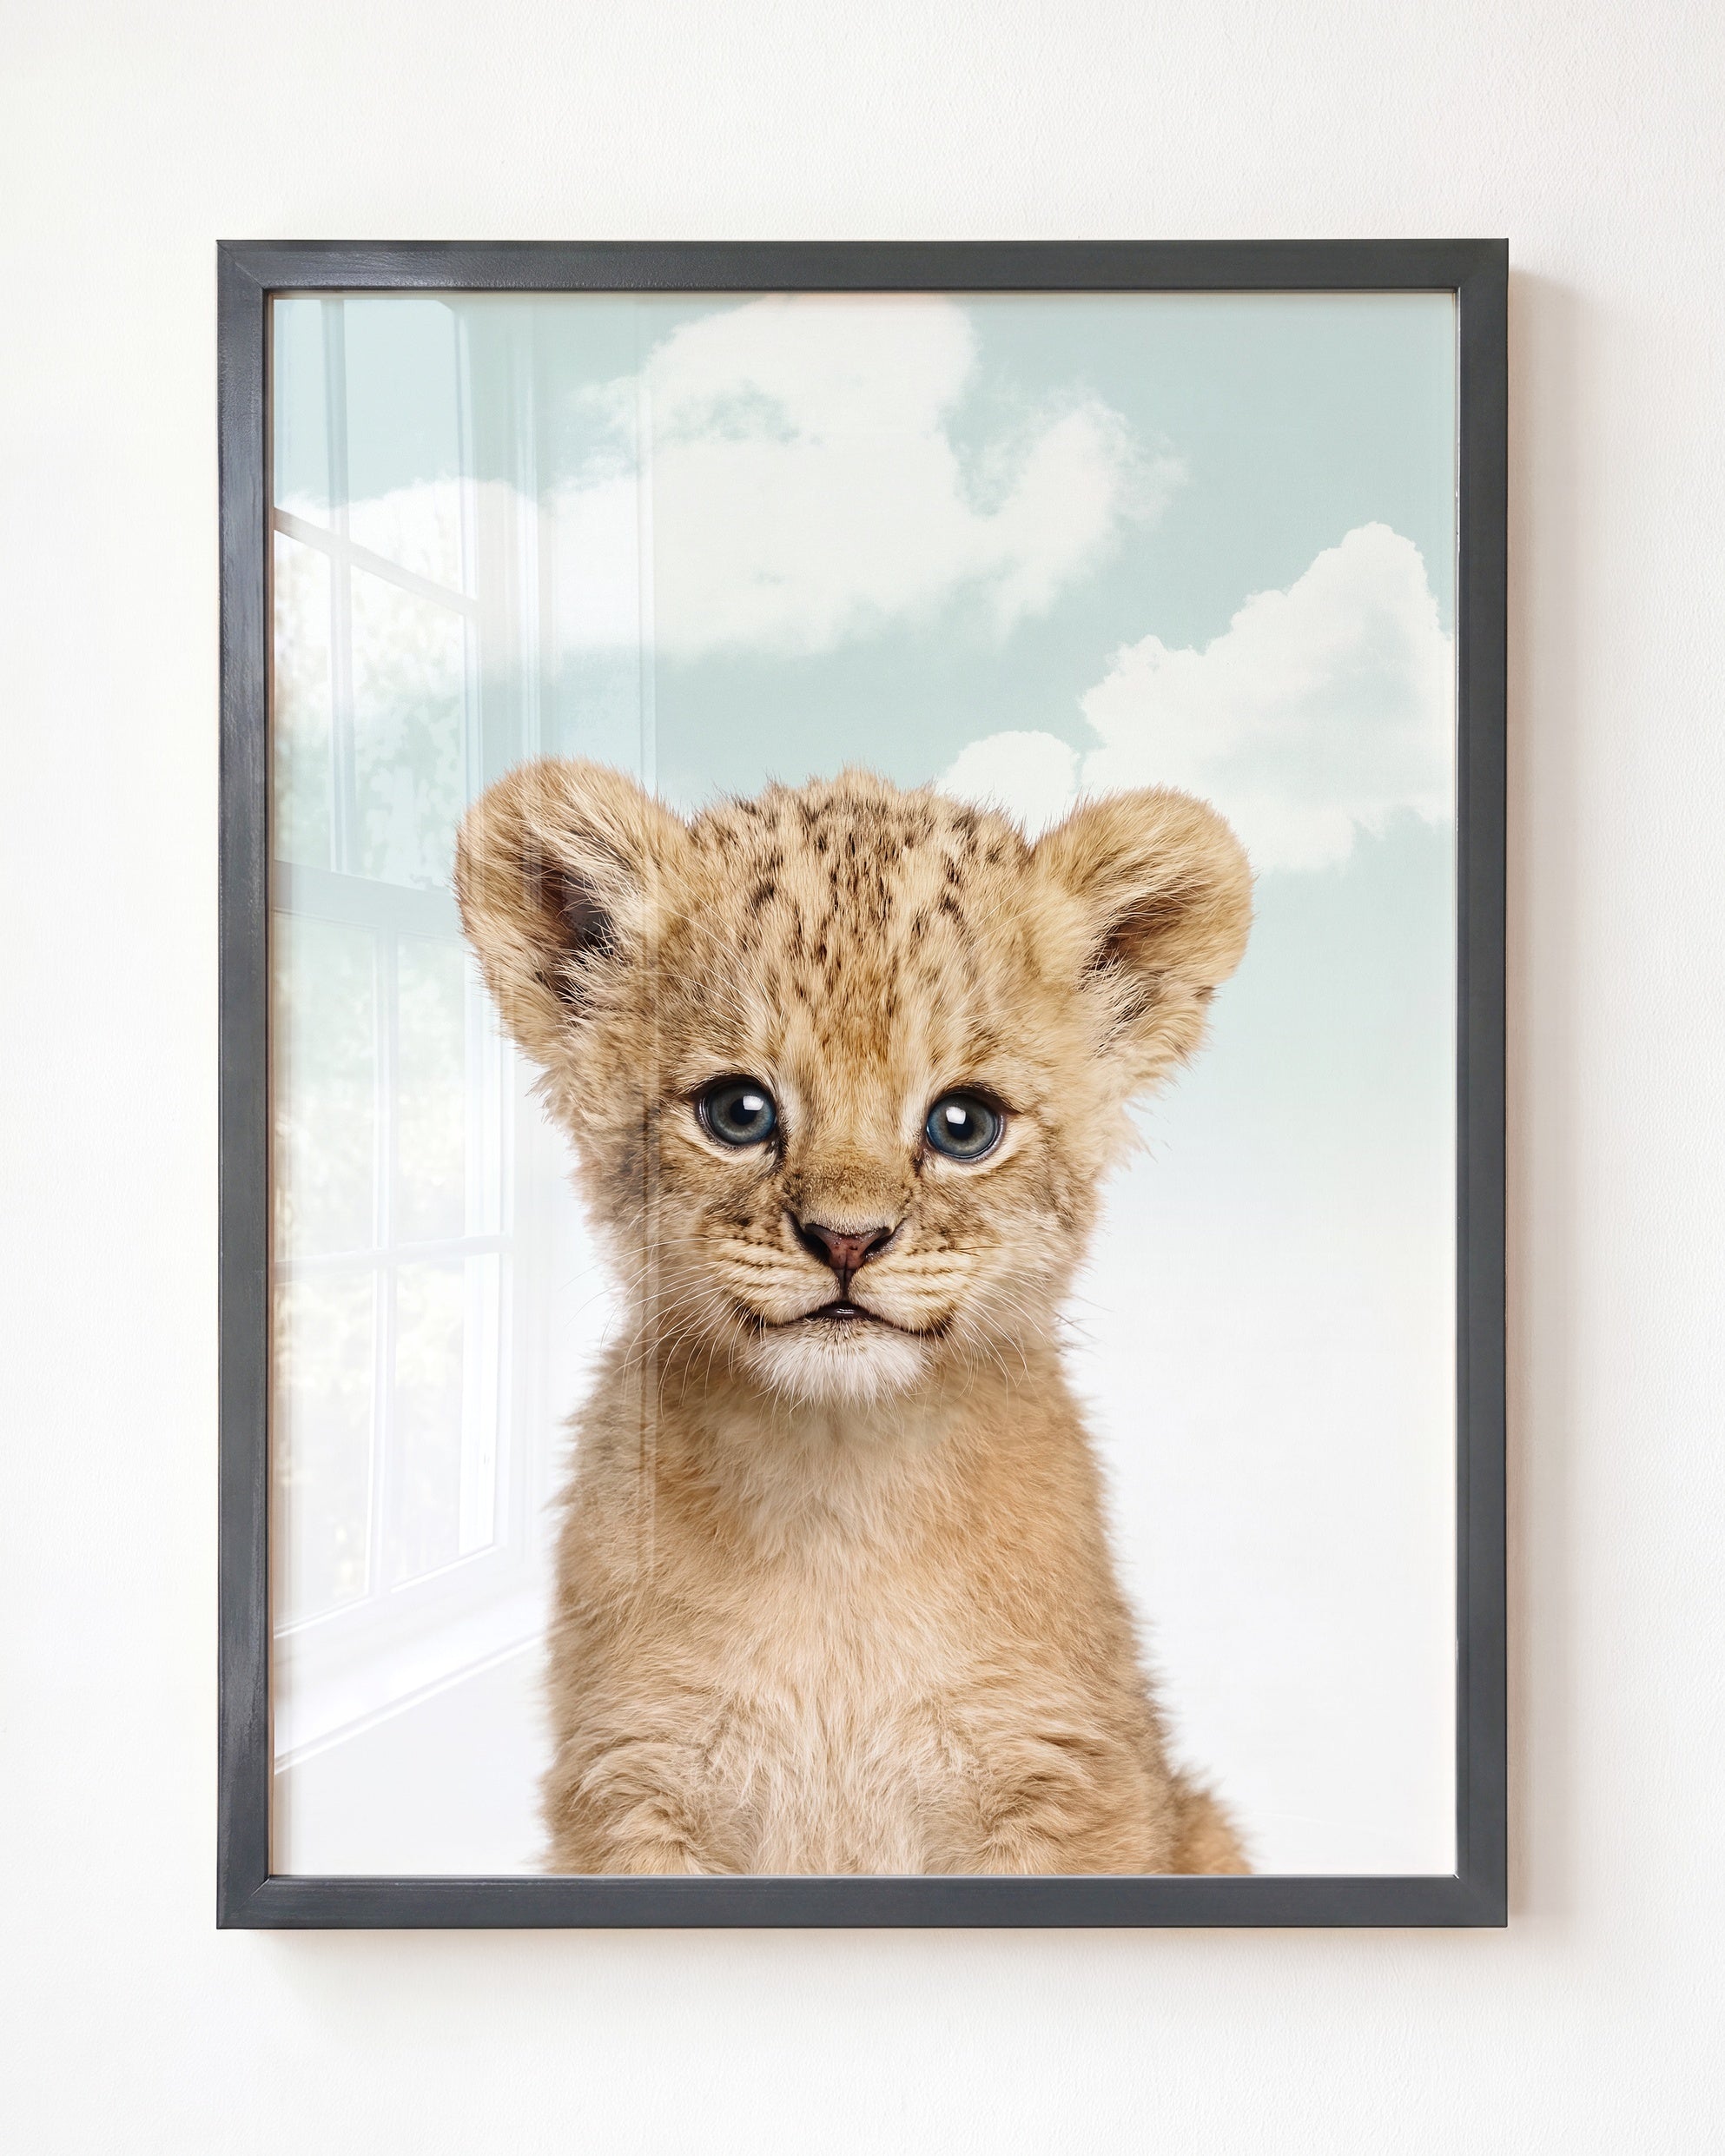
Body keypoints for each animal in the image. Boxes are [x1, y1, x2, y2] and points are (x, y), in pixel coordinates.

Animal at [455, 759, 1253, 1876]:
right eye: (738, 1111)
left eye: (964, 1124)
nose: (845, 1240)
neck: (837, 1497)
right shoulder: (635, 1782)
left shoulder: (1066, 1778)